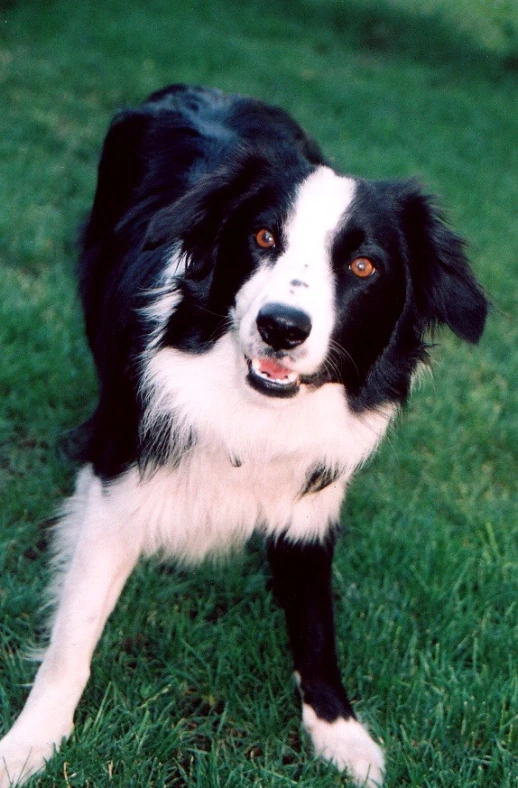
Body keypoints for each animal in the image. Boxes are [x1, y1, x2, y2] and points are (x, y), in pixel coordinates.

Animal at [0, 83, 490, 784]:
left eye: (363, 266)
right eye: (262, 236)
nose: (281, 327)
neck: (252, 407)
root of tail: (200, 88)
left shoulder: (311, 500)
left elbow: (315, 624)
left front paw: (339, 733)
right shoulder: (118, 482)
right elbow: (75, 631)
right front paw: (31, 742)